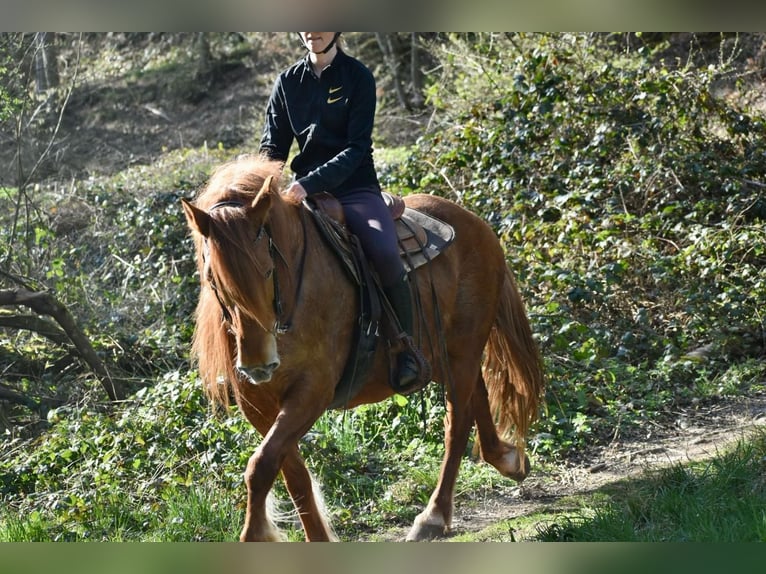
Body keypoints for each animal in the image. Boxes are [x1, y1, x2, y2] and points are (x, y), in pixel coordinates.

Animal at [181, 155, 545, 541]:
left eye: (267, 269)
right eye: (212, 278)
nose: (258, 364)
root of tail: (476, 223)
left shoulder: (312, 391)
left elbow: (262, 464)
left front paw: (253, 535)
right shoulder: (259, 406)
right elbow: (290, 473)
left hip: (463, 349)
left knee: (457, 425)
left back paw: (433, 515)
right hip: (448, 355)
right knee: (476, 394)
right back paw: (508, 460)